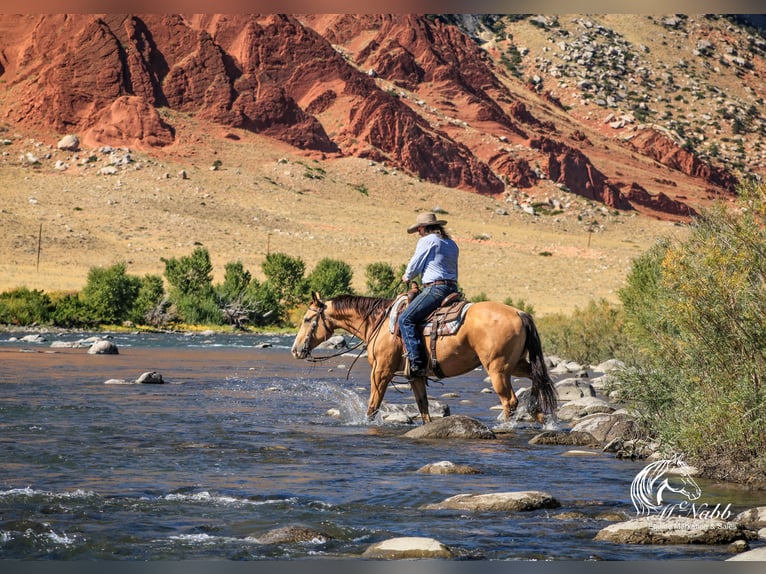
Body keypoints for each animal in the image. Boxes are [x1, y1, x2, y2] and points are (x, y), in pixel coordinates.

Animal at [290, 294, 560, 426]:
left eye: (307, 319)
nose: (295, 350)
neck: (378, 323)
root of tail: (519, 312)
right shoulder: (415, 375)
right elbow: (424, 408)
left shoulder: (381, 372)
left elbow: (372, 406)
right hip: (516, 365)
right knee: (538, 380)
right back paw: (542, 418)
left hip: (498, 369)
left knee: (509, 400)